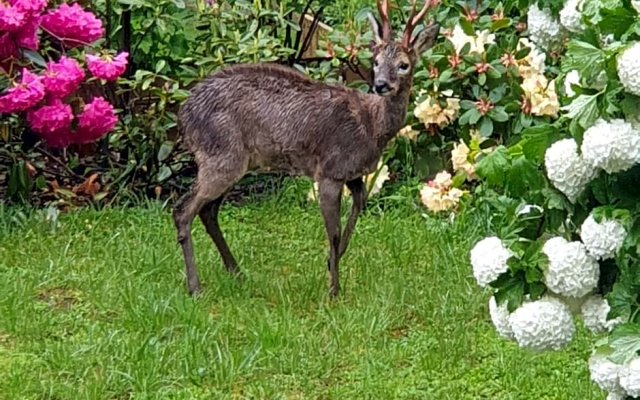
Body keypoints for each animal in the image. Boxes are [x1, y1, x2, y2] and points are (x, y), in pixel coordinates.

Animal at [171, 0, 440, 296]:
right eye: (376, 61)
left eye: (404, 65)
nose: (381, 85)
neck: (371, 125)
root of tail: (184, 114)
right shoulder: (330, 169)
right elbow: (333, 231)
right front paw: (333, 289)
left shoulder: (353, 173)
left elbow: (357, 209)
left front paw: (331, 263)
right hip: (220, 154)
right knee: (183, 211)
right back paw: (195, 287)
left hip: (233, 160)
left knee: (208, 211)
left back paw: (237, 272)